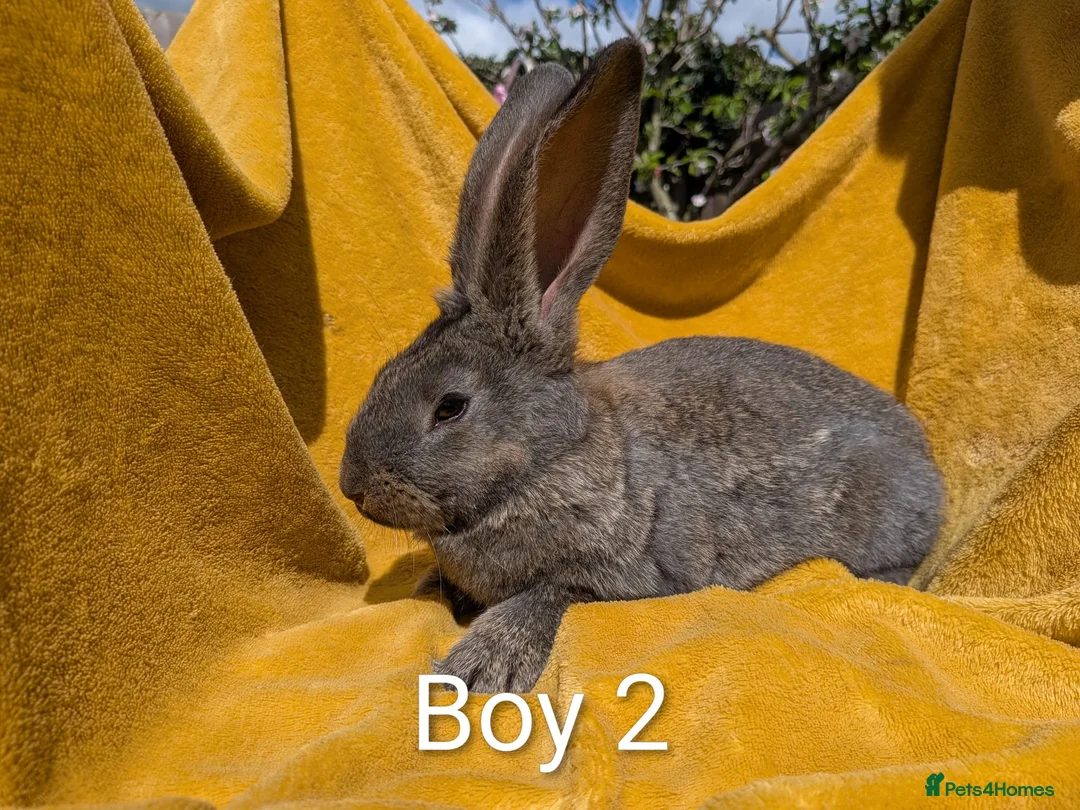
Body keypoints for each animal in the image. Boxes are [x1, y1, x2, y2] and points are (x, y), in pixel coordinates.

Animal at [339, 38, 943, 694]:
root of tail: (930, 468)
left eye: (450, 407)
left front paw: (478, 666)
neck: (554, 457)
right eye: (382, 375)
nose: (352, 486)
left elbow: (547, 597)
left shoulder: (620, 575)